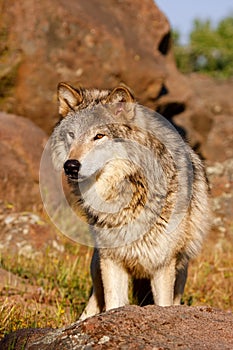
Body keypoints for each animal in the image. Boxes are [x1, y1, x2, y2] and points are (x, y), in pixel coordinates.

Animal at [50, 82, 209, 320]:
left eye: (99, 136)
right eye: (71, 135)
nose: (71, 166)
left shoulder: (163, 265)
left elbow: (163, 306)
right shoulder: (111, 260)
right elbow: (113, 305)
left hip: (181, 269)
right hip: (97, 265)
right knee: (94, 300)